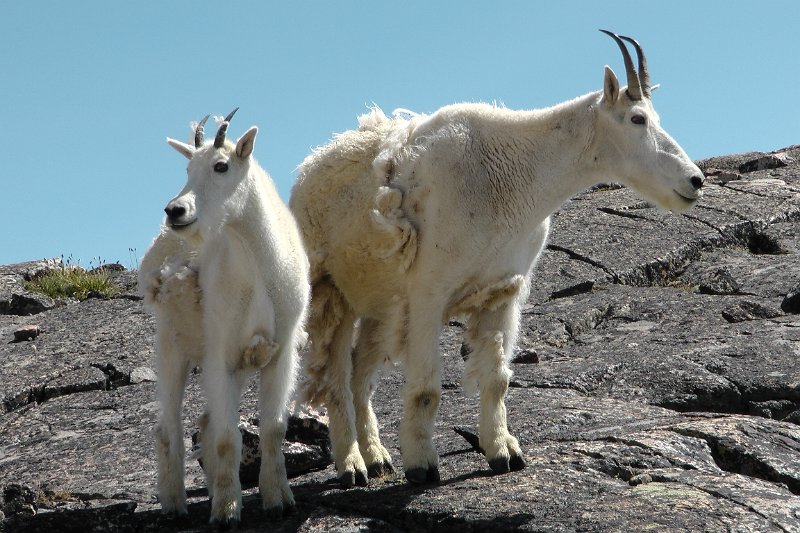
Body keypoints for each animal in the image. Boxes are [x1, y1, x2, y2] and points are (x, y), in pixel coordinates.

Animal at [138, 110, 309, 524]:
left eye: (221, 166)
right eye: (187, 167)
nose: (175, 210)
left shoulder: (279, 353)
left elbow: (273, 429)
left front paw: (278, 498)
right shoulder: (220, 353)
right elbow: (228, 437)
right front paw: (227, 511)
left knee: (204, 422)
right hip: (172, 344)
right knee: (169, 427)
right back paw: (174, 504)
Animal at [289, 31, 704, 487]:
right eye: (637, 119)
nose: (695, 180)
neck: (512, 178)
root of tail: (309, 166)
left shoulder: (503, 289)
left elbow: (497, 380)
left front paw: (504, 453)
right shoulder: (427, 292)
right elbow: (426, 388)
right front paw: (422, 465)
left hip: (381, 304)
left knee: (361, 374)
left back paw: (378, 456)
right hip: (334, 291)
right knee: (337, 379)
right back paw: (352, 465)